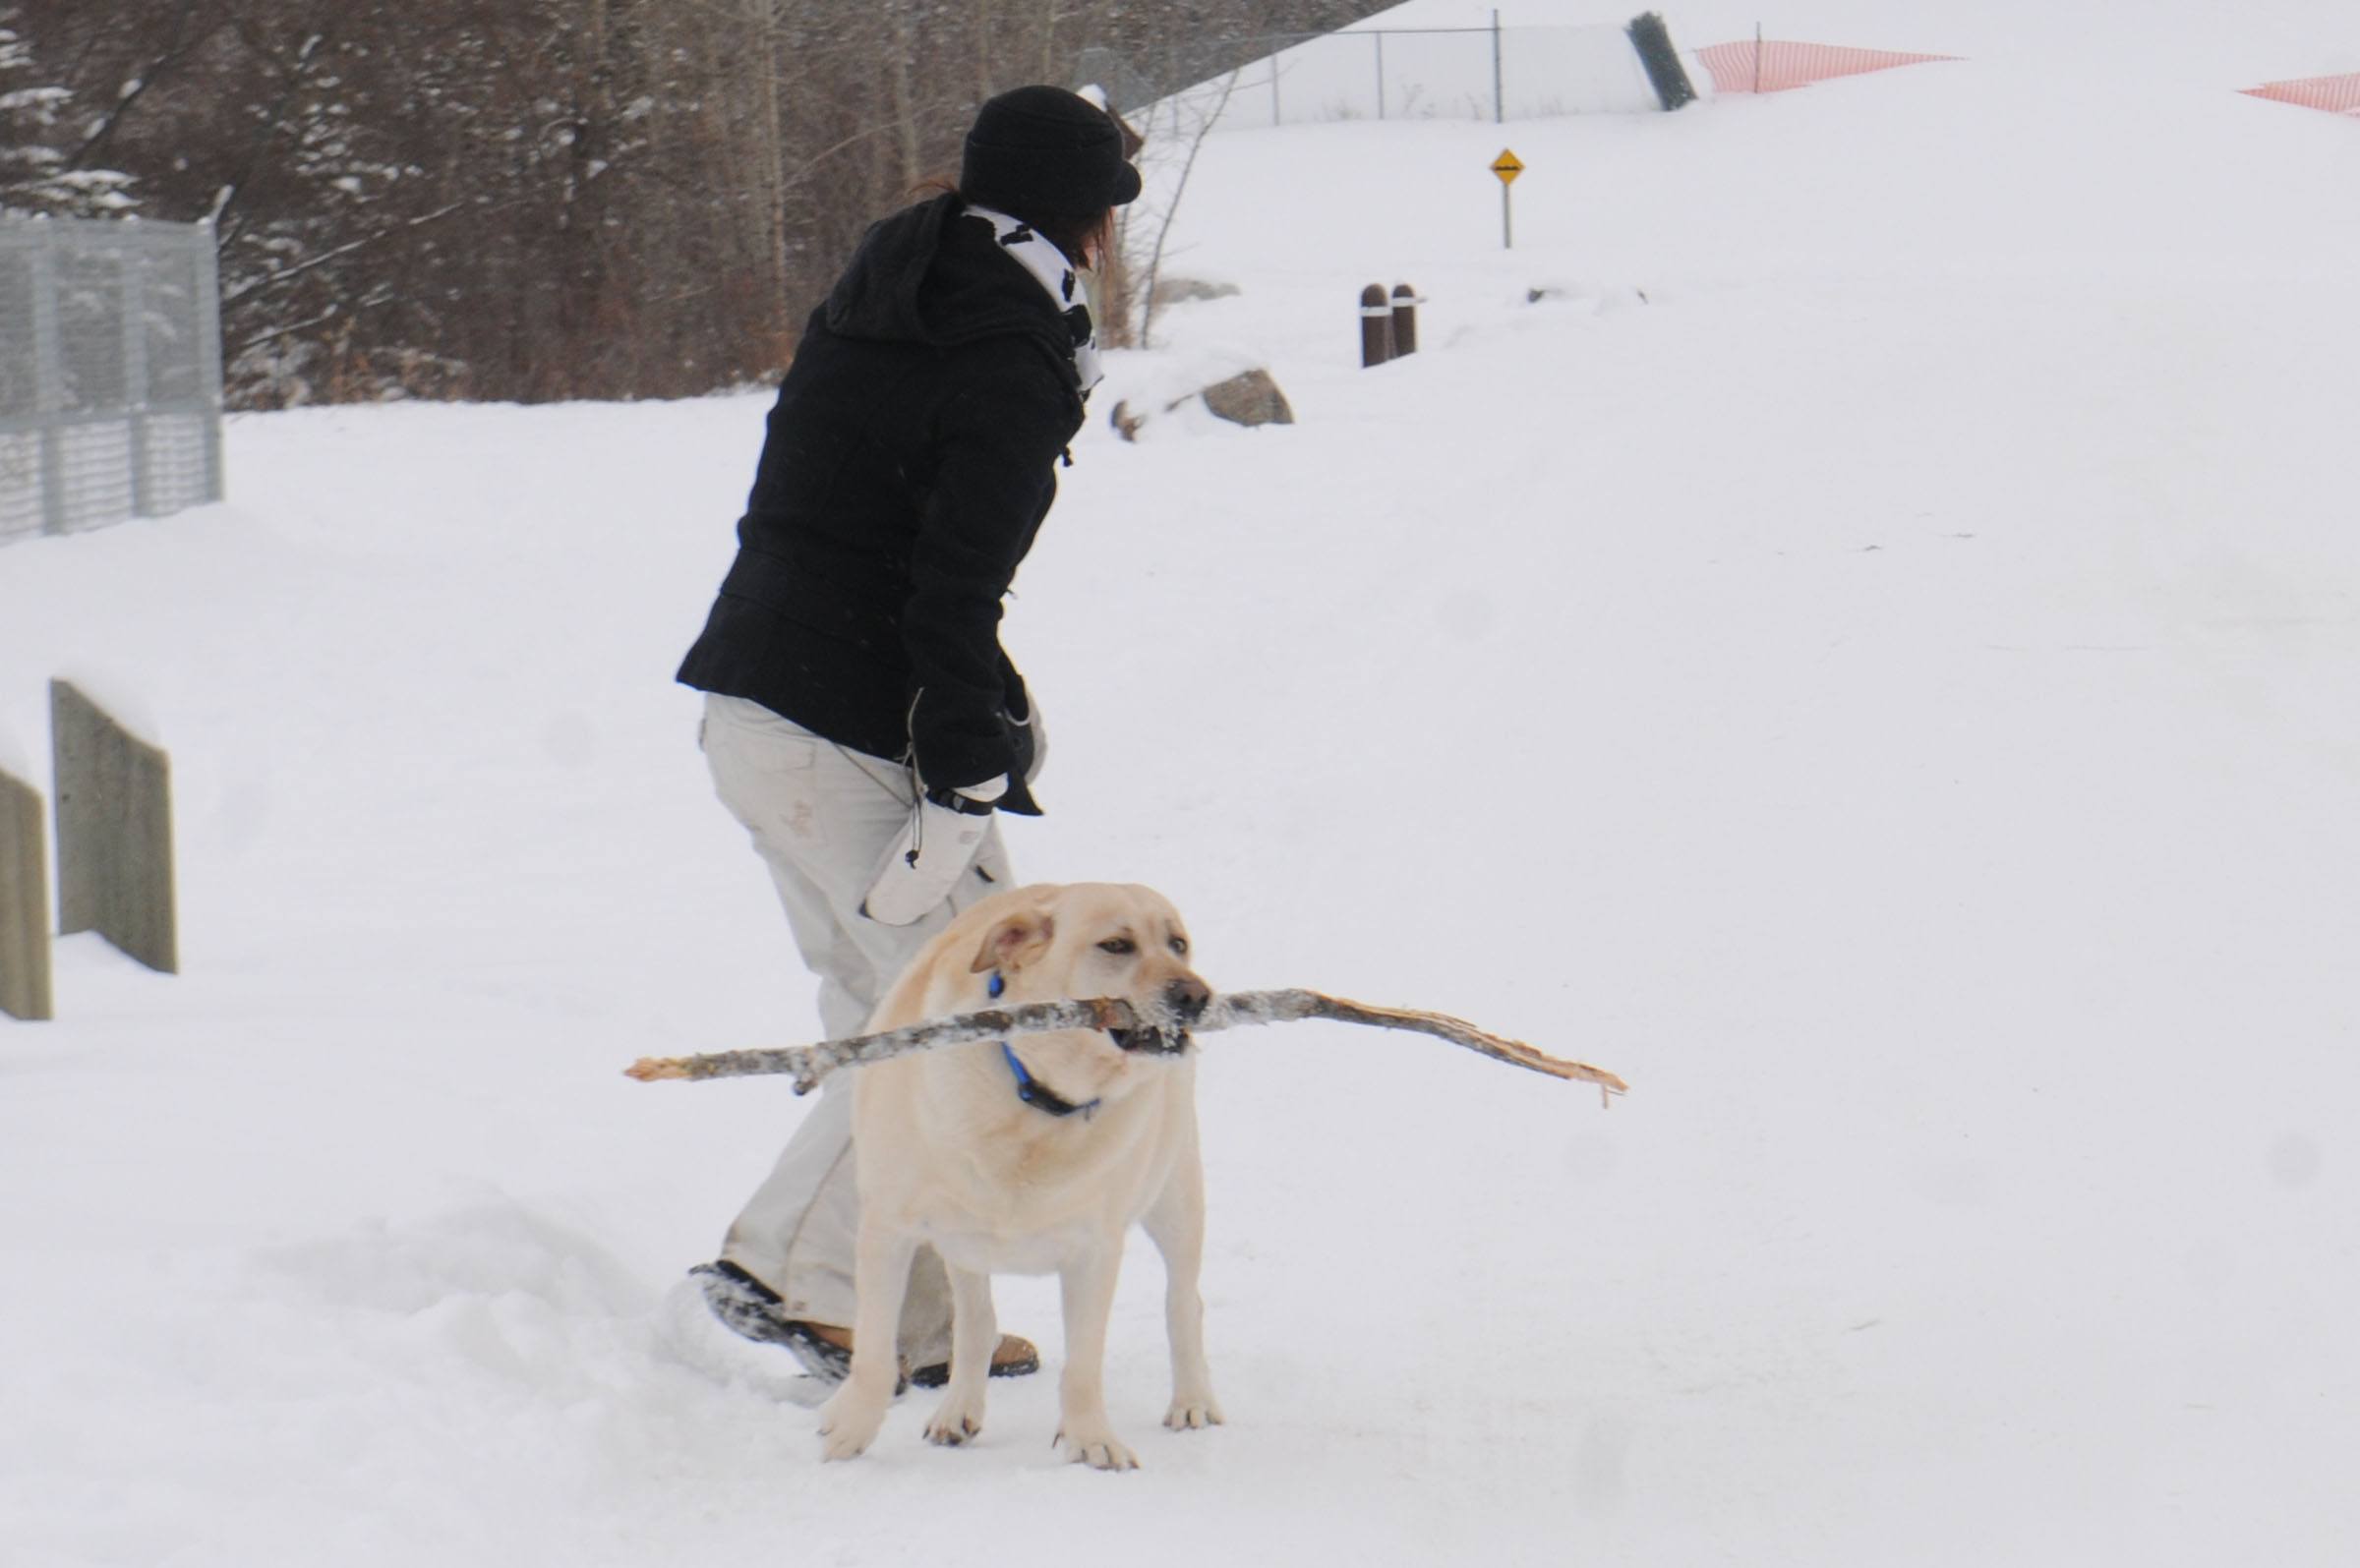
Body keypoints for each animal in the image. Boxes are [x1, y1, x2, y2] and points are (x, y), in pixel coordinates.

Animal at [816, 882, 1227, 1471]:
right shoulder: (887, 1230)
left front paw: (1091, 1439)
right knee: (975, 1323)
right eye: (1116, 945)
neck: (1036, 1099)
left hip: (1174, 1195)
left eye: (1178, 943)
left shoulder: (1095, 1249)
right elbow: (873, 1352)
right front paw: (851, 1430)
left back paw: (1192, 1400)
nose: (1196, 996)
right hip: (961, 1242)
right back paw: (955, 1412)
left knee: (1183, 1302)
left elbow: (1084, 1365)